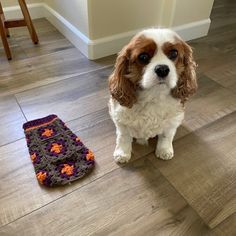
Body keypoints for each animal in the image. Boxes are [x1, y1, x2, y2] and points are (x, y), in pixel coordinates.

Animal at [109, 27, 197, 163]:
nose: (162, 69)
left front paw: (164, 150)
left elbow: (166, 135)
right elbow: (123, 137)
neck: (154, 95)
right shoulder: (121, 120)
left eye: (174, 53)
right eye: (143, 56)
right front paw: (122, 153)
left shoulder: (172, 121)